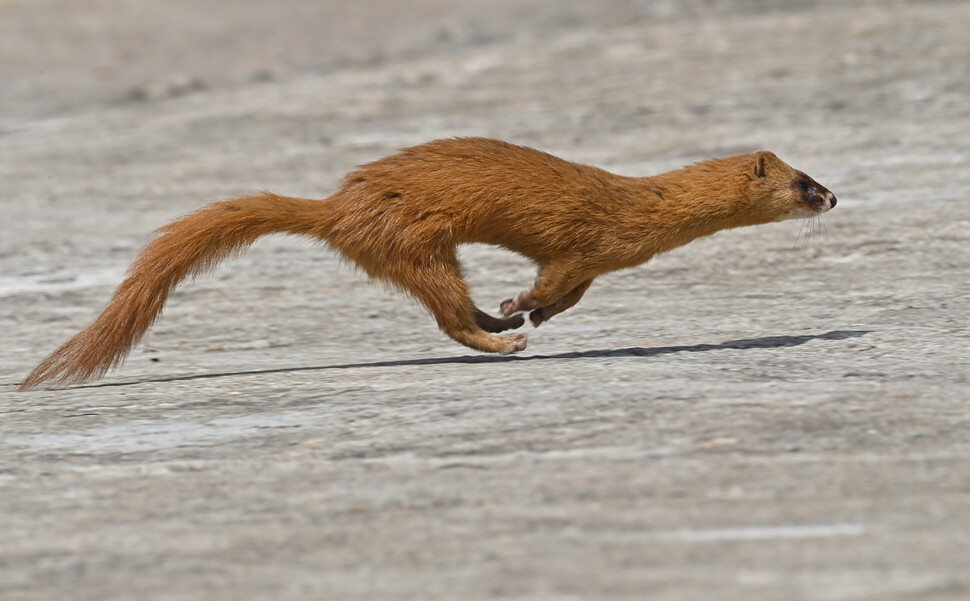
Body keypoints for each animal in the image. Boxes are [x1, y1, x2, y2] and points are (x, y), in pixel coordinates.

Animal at [18, 137, 836, 390]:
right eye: (803, 181)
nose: (834, 194)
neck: (640, 210)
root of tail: (337, 205)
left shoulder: (595, 262)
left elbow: (570, 294)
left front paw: (525, 308)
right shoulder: (584, 242)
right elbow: (554, 280)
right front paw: (520, 309)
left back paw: (494, 324)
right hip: (415, 241)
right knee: (443, 311)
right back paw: (501, 339)